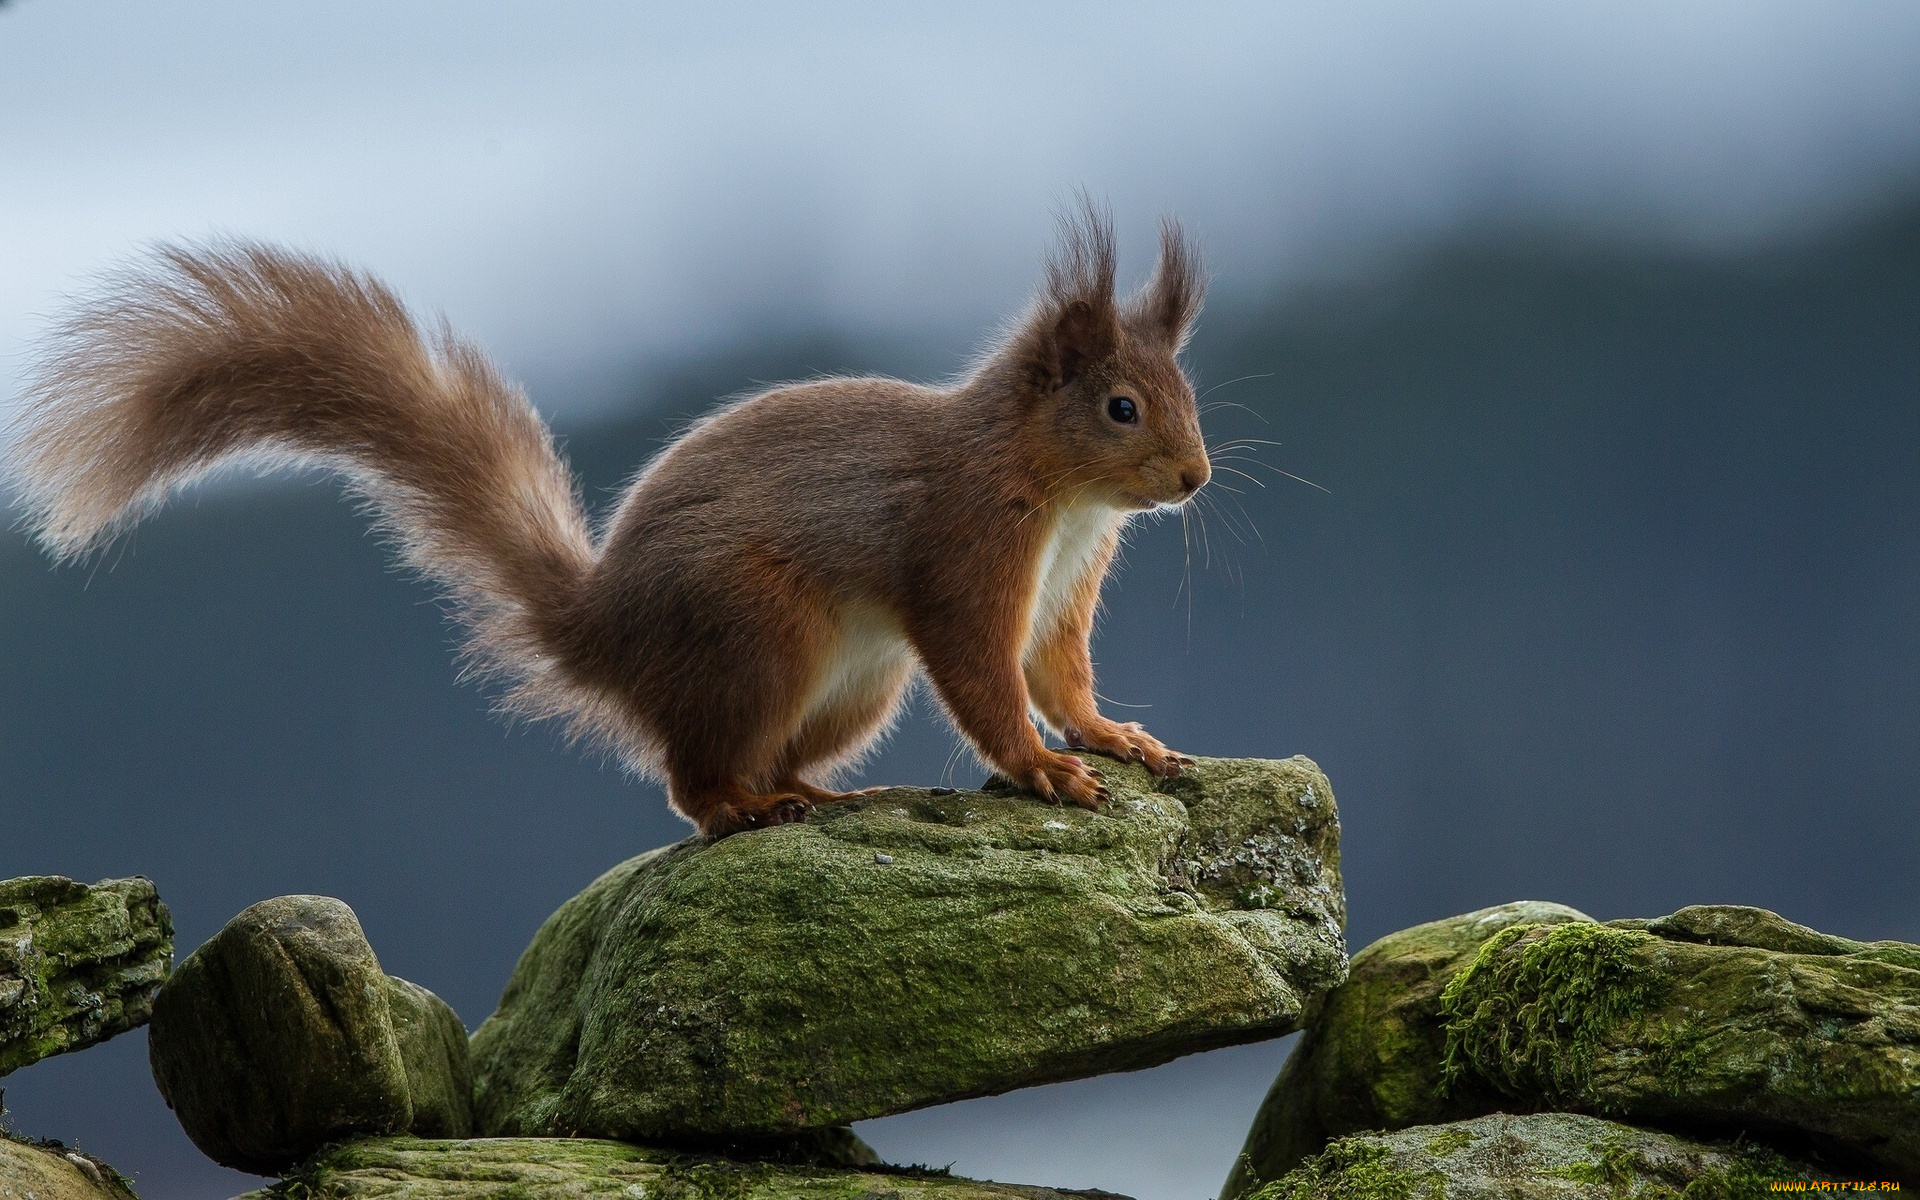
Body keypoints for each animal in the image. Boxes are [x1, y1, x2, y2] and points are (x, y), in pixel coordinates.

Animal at [11, 205, 1213, 837]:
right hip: (763, 635)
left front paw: (1112, 736)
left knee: (752, 758)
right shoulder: (966, 548)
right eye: (1121, 407)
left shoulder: (1064, 585)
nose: (1195, 477)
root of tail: (604, 634)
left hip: (853, 685)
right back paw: (743, 809)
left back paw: (802, 791)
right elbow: (983, 675)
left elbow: (1058, 673)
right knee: (690, 780)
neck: (1057, 497)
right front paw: (1042, 769)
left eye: (1188, 395)